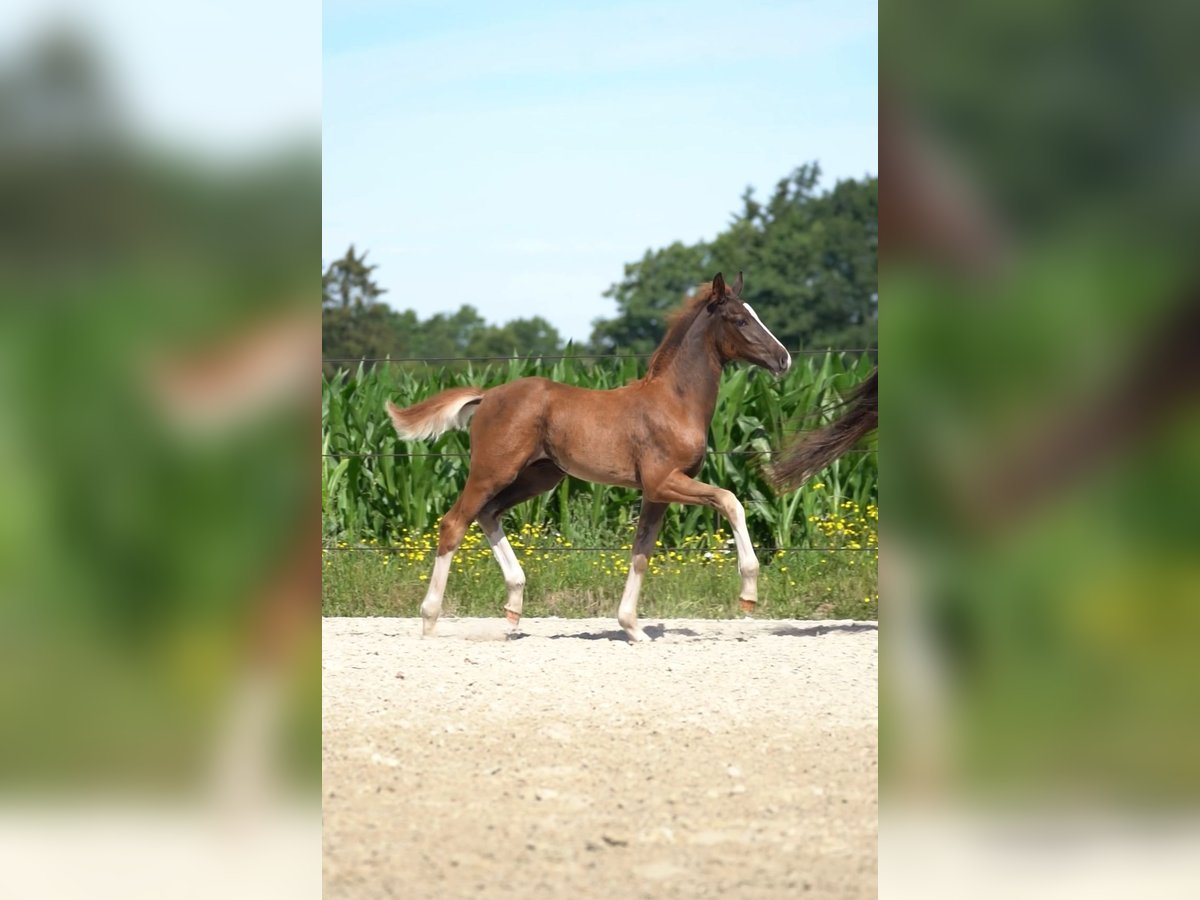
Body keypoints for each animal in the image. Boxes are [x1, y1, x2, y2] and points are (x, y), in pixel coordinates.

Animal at [386, 273, 796, 643]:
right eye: (740, 319)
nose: (784, 359)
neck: (674, 402)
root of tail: (487, 396)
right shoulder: (664, 481)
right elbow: (731, 500)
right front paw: (748, 590)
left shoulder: (656, 494)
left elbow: (641, 552)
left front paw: (633, 628)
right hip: (492, 471)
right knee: (454, 523)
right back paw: (429, 620)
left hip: (538, 477)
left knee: (488, 514)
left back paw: (514, 605)